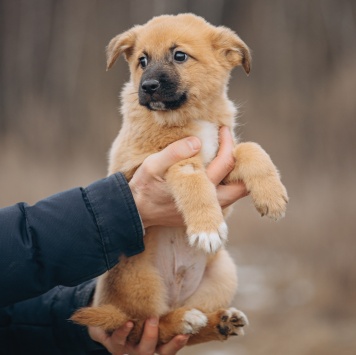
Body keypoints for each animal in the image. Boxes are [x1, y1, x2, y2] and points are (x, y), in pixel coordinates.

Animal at [71, 14, 288, 348]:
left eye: (180, 56)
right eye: (142, 60)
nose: (147, 87)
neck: (190, 115)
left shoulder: (223, 158)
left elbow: (251, 148)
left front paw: (272, 196)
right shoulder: (154, 163)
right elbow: (193, 180)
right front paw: (207, 228)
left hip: (225, 272)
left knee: (188, 332)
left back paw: (220, 322)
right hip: (140, 279)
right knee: (146, 326)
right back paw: (181, 320)